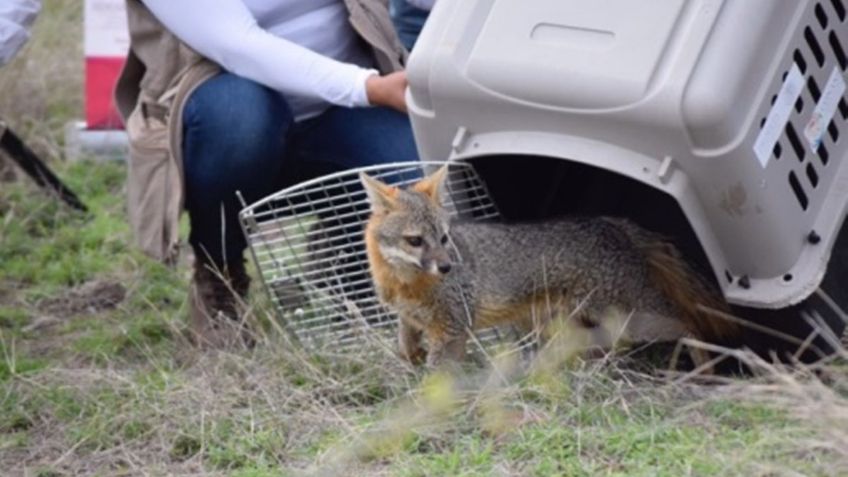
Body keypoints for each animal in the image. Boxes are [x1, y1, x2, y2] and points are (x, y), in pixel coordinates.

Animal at [358, 165, 736, 366]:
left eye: (444, 237)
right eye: (415, 241)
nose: (448, 267)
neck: (406, 284)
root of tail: (608, 222)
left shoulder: (452, 326)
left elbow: (437, 373)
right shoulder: (415, 319)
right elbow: (405, 343)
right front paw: (411, 357)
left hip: (632, 317)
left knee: (689, 324)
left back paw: (703, 371)